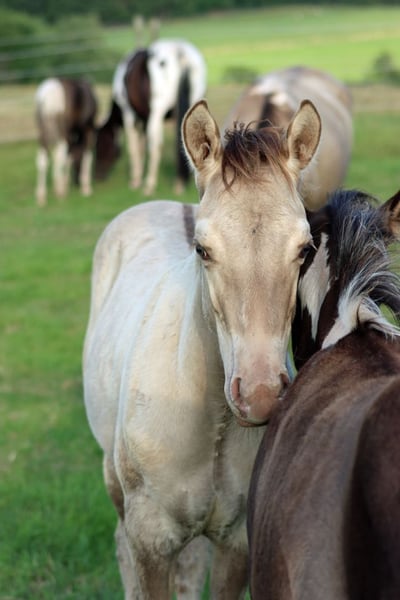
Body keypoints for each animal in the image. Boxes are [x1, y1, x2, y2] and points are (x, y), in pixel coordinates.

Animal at [35, 77, 98, 206]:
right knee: (60, 157)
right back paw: (60, 192)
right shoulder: (88, 129)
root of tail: (47, 96)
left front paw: (63, 182)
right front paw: (86, 187)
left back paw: (42, 196)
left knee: (43, 160)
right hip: (63, 133)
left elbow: (69, 156)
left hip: (43, 135)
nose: (76, 182)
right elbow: (85, 155)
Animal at [83, 98, 322, 598]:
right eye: (203, 249)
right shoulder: (151, 541)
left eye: (304, 249)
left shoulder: (236, 543)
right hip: (114, 482)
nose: (260, 395)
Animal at [95, 38, 207, 196]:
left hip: (157, 113)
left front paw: (135, 181)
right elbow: (142, 145)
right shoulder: (144, 118)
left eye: (100, 144)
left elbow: (134, 147)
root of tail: (180, 53)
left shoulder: (129, 114)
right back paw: (180, 182)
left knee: (155, 146)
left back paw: (149, 185)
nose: (97, 176)